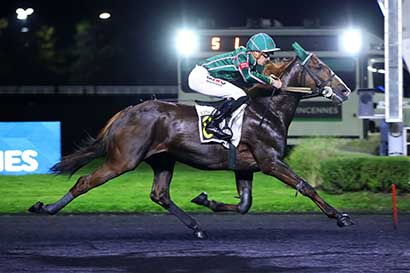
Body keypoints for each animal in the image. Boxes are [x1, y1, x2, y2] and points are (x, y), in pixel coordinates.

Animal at [30, 48, 354, 238]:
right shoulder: (270, 161)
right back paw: (46, 208)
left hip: (162, 159)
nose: (345, 90)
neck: (268, 109)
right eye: (321, 67)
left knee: (159, 194)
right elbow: (306, 186)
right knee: (84, 182)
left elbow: (244, 204)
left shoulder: (246, 166)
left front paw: (205, 200)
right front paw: (340, 216)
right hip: (123, 160)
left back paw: (196, 227)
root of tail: (127, 112)